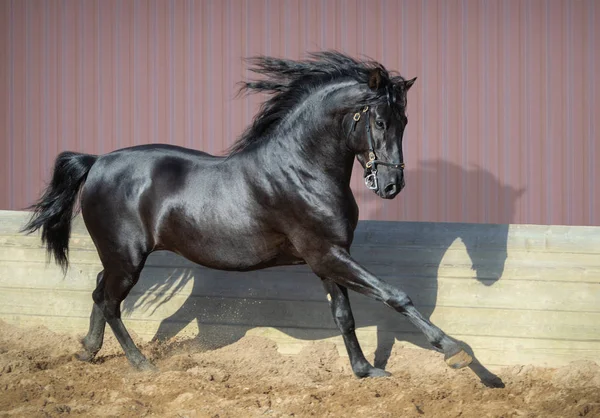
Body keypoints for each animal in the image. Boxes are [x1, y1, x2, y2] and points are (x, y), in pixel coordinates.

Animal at [22, 53, 478, 386]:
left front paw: (365, 371)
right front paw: (456, 351)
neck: (301, 169)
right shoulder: (327, 254)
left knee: (100, 293)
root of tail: (96, 161)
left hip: (118, 259)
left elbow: (344, 317)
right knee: (110, 302)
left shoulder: (328, 259)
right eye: (380, 121)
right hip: (126, 259)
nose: (391, 186)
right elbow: (394, 295)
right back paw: (141, 365)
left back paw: (87, 350)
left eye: (405, 121)